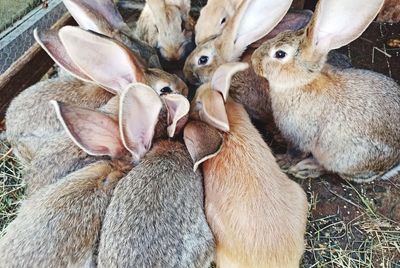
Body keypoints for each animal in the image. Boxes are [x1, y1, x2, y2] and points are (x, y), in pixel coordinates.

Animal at [253, 0, 400, 182]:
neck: (301, 83)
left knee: (331, 170)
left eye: (280, 54)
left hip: (342, 158)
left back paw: (306, 168)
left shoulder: (302, 137)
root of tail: (391, 166)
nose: (254, 59)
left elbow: (295, 153)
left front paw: (281, 161)